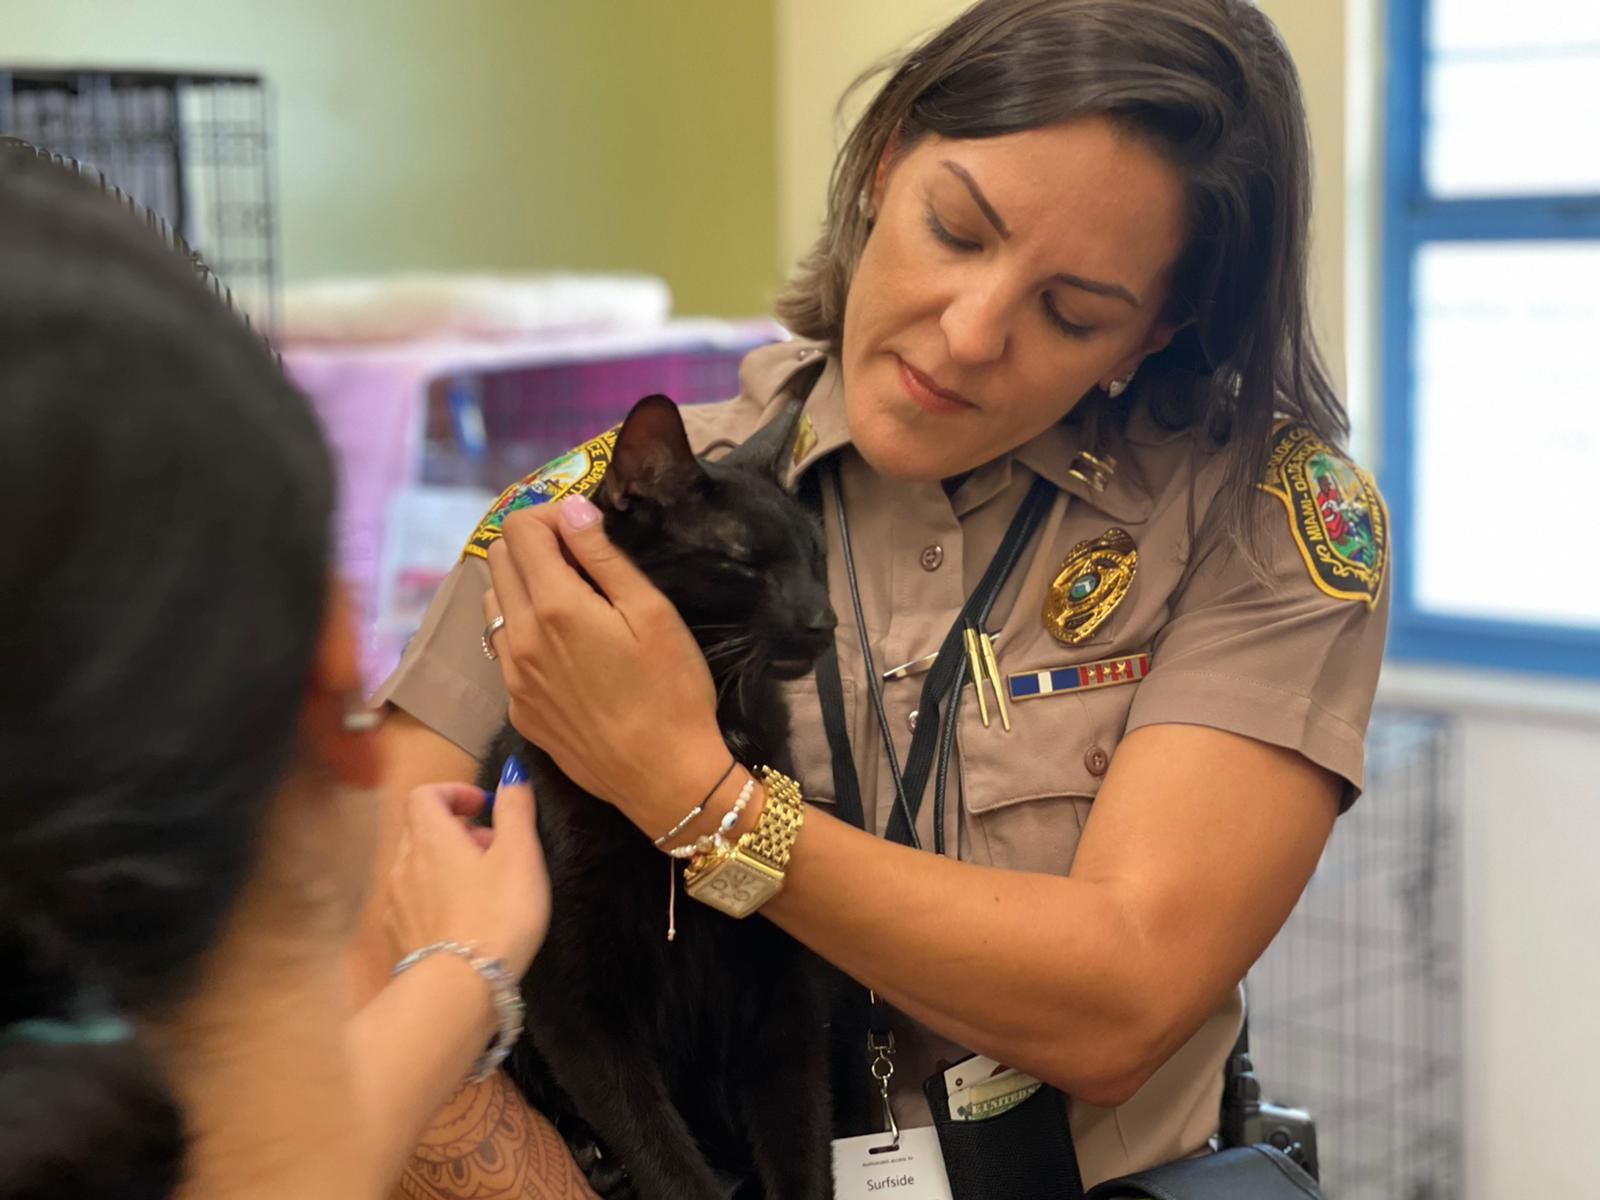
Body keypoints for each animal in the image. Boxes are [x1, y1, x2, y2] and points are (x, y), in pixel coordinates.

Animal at [480, 396, 844, 1200]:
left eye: (817, 558)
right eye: (743, 560)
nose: (822, 619)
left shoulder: (784, 993)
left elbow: (800, 1136)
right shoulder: (572, 1000)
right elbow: (661, 1153)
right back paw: (595, 1158)